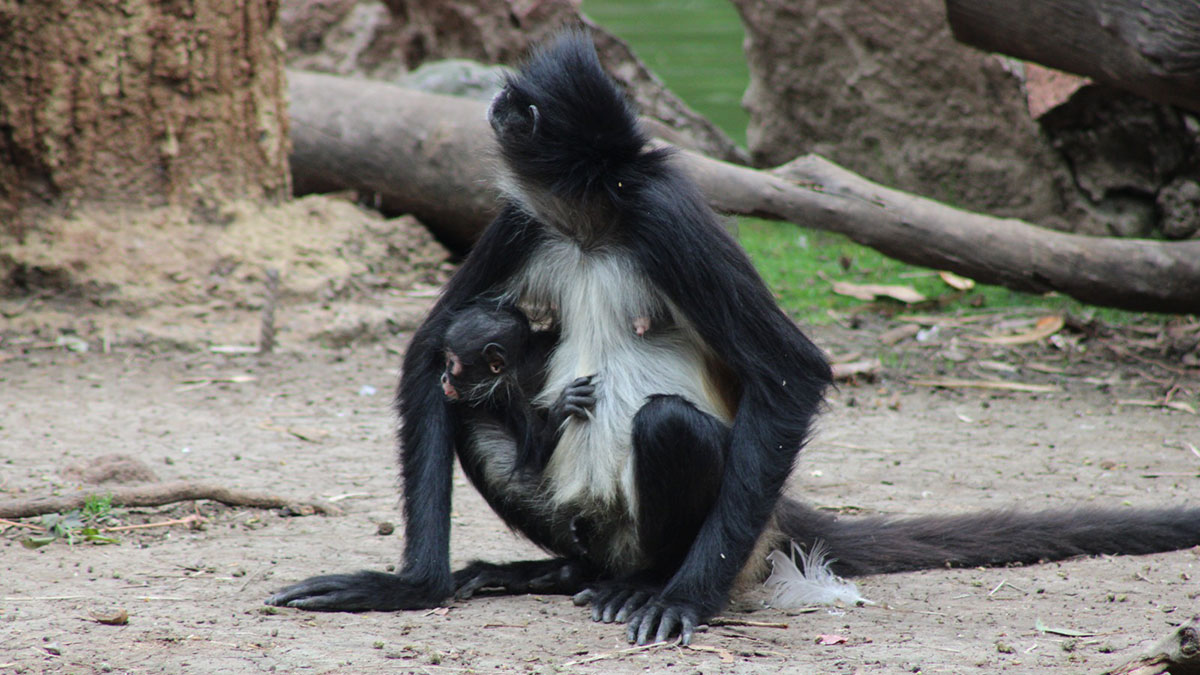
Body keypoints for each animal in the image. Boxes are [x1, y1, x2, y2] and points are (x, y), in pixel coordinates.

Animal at [268, 30, 1200, 646]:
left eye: (520, 105)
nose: (496, 106)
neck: (598, 225)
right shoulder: (526, 217)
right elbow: (434, 352)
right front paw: (409, 586)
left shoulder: (666, 214)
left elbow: (791, 370)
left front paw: (687, 603)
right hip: (580, 519)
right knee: (475, 410)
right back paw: (563, 573)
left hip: (720, 533)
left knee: (665, 424)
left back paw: (648, 584)